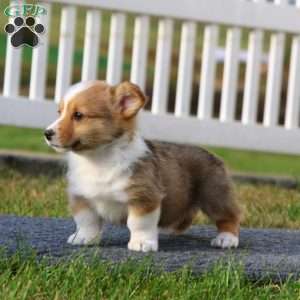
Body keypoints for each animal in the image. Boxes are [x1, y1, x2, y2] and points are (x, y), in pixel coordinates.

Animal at [44, 79, 241, 251]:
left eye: (78, 115)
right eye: (59, 112)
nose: (47, 133)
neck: (98, 159)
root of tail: (213, 154)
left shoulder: (143, 198)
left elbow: (139, 224)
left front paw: (142, 243)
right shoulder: (81, 197)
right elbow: (87, 222)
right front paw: (84, 238)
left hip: (214, 195)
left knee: (229, 216)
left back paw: (226, 239)